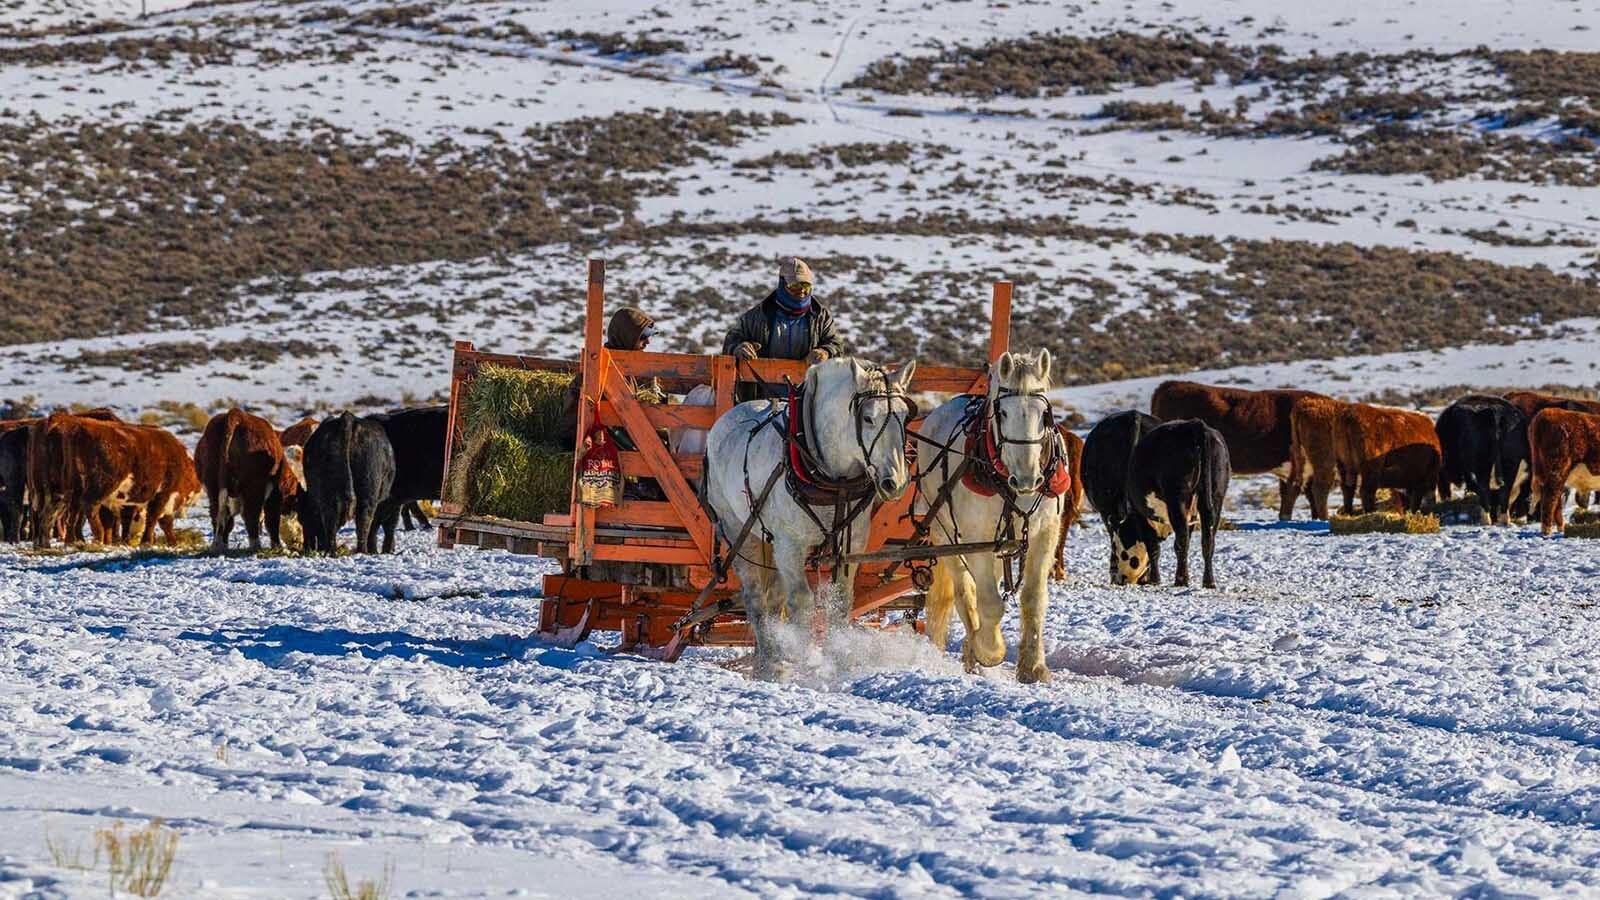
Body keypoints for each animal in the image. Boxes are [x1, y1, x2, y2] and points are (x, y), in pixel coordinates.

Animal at [703, 357, 917, 680]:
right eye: (868, 418)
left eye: (904, 417)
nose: (896, 482)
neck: (833, 478)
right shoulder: (790, 545)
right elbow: (802, 602)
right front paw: (804, 664)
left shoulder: (851, 544)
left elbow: (841, 601)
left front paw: (841, 662)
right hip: (741, 533)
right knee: (756, 599)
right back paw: (772, 661)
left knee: (774, 599)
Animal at [915, 350, 1067, 684]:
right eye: (1004, 414)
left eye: (1044, 415)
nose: (1028, 478)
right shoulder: (976, 537)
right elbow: (990, 604)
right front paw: (990, 650)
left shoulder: (1045, 532)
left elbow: (1034, 599)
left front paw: (1033, 666)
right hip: (946, 533)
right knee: (965, 590)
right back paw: (975, 645)